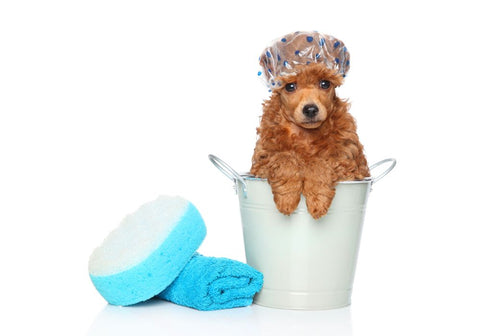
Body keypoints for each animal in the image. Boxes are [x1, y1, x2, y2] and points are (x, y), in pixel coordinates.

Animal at [249, 63, 370, 219]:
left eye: (325, 84)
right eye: (290, 86)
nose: (311, 109)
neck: (306, 134)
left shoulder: (349, 167)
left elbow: (317, 162)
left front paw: (318, 200)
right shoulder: (261, 164)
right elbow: (284, 158)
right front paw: (287, 199)